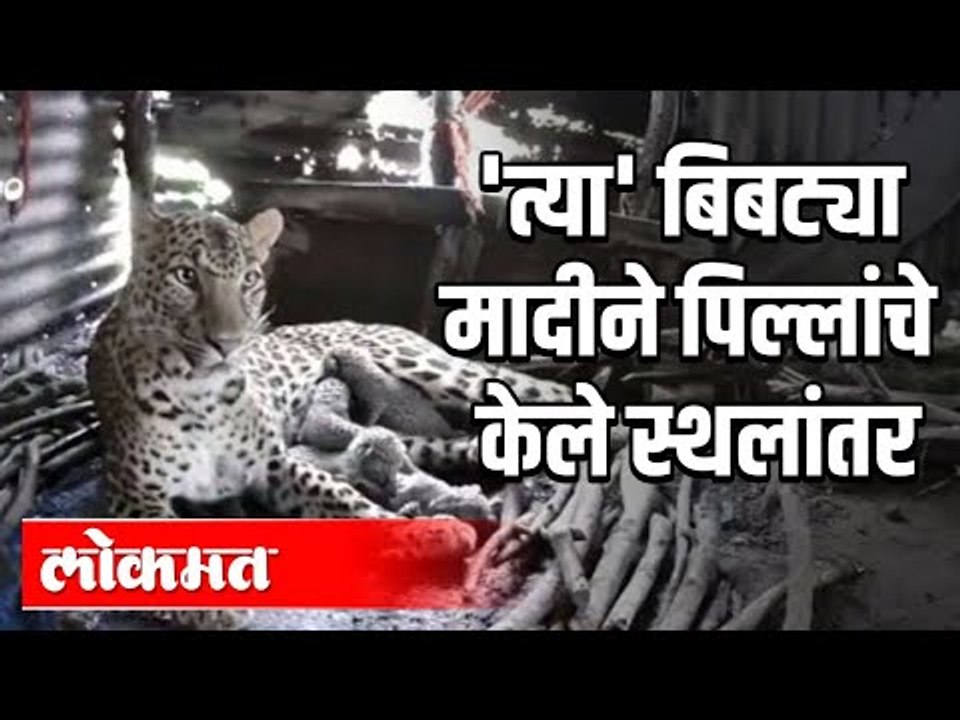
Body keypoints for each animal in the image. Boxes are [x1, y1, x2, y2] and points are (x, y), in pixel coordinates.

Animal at [83, 202, 573, 630]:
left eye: (249, 279)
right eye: (186, 276)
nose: (229, 342)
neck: (202, 394)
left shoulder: (273, 465)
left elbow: (341, 497)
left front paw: (429, 532)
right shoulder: (133, 497)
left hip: (434, 369)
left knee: (551, 391)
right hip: (410, 437)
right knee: (450, 441)